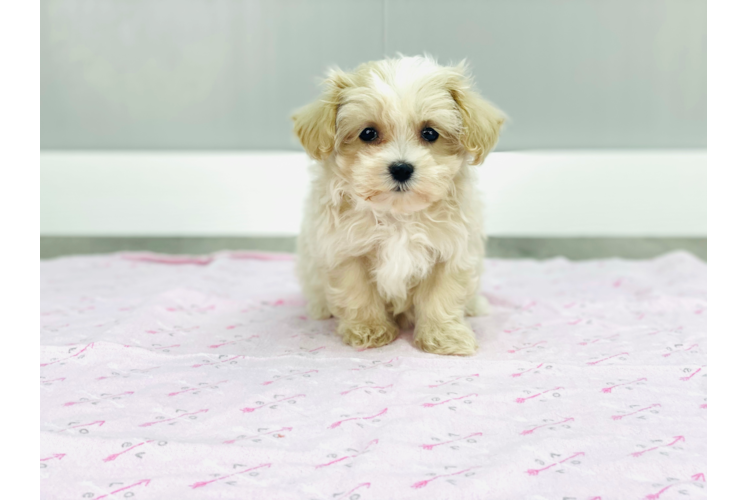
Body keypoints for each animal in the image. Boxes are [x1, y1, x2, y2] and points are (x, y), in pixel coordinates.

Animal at [290, 55, 502, 356]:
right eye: (368, 133)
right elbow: (358, 293)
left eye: (430, 133)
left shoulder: (451, 250)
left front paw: (444, 336)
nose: (401, 168)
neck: (398, 215)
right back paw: (320, 308)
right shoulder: (345, 251)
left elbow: (442, 296)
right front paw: (369, 329)